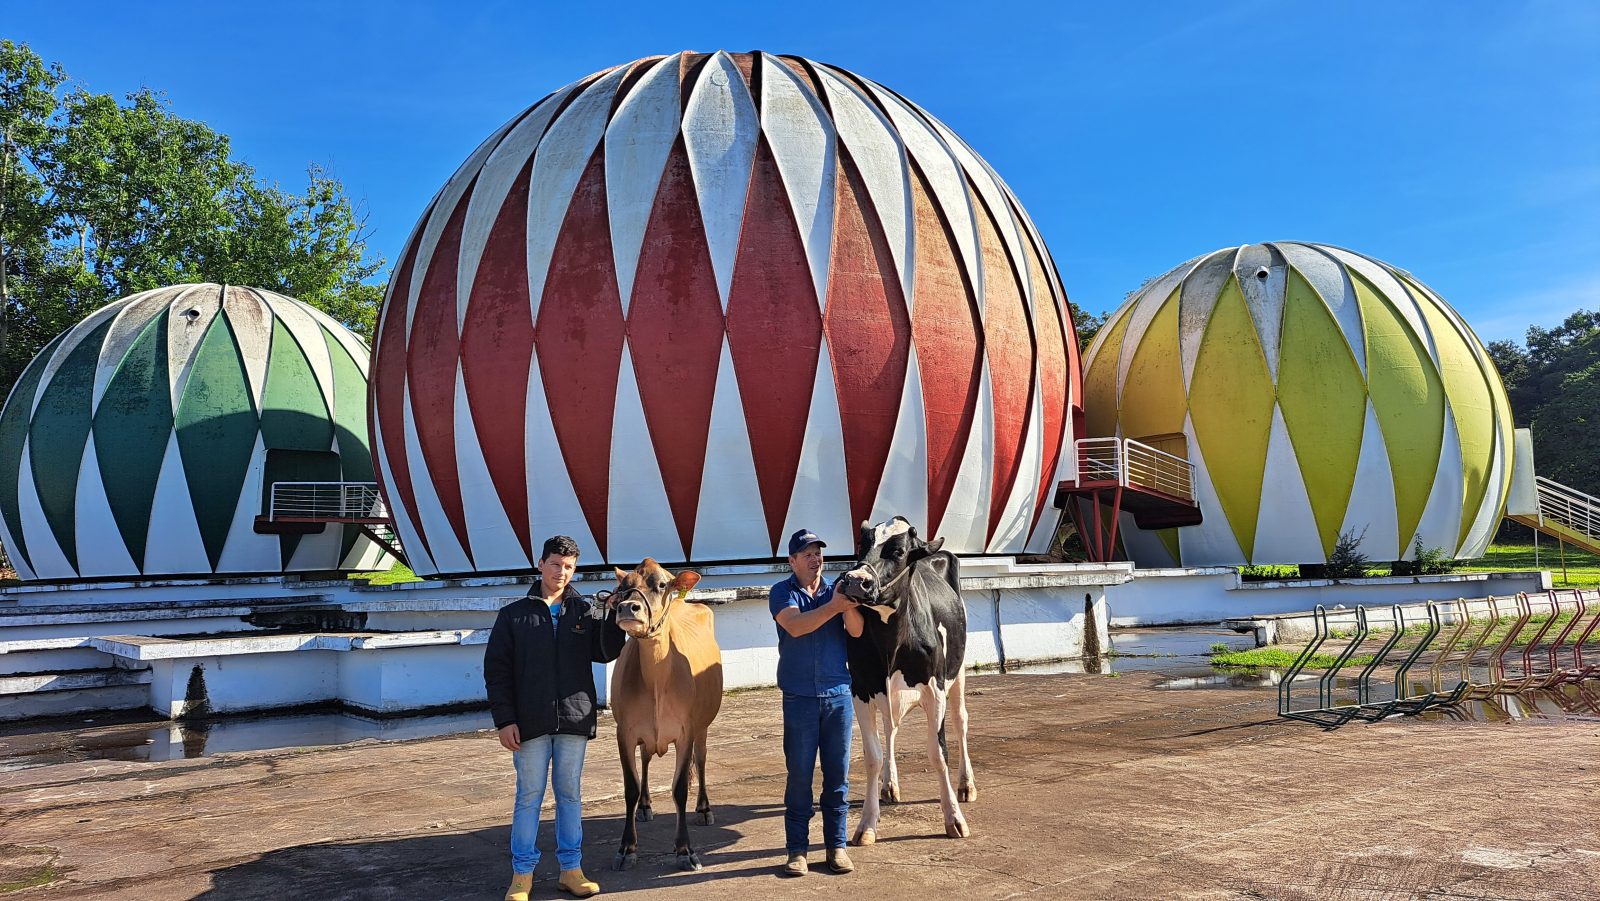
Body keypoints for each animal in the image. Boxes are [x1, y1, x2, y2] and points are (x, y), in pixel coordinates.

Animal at [608, 560, 723, 870]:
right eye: (623, 587)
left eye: (661, 585)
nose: (628, 607)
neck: (657, 681)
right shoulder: (624, 732)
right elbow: (631, 787)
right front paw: (626, 848)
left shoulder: (686, 731)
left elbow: (680, 788)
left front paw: (685, 850)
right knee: (646, 759)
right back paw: (645, 806)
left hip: (703, 726)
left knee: (702, 759)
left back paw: (704, 808)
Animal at [838, 518, 972, 844]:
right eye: (862, 544)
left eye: (898, 551)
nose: (854, 580)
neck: (892, 641)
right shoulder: (861, 689)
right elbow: (872, 757)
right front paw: (867, 824)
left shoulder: (934, 688)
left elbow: (938, 753)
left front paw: (954, 819)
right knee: (891, 729)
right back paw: (889, 785)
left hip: (959, 670)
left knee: (960, 720)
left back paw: (966, 785)